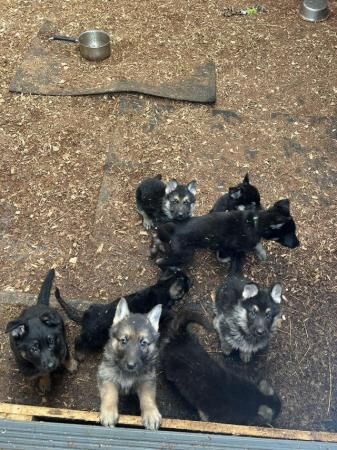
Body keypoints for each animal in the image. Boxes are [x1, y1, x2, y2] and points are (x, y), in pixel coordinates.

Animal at [55, 268, 192, 358]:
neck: (162, 288)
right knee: (79, 340)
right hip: (93, 338)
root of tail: (85, 316)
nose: (191, 281)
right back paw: (79, 355)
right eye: (186, 282)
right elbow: (171, 314)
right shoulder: (165, 313)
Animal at [96, 298, 162, 428]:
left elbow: (148, 396)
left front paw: (151, 413)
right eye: (124, 340)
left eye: (143, 343)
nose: (131, 365)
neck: (127, 373)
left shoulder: (147, 379)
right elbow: (110, 394)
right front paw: (108, 412)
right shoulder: (106, 375)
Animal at [154, 198, 298, 268]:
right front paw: (227, 259)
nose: (298, 244)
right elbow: (221, 256)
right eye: (290, 234)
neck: (255, 223)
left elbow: (256, 244)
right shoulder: (227, 247)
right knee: (163, 261)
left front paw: (261, 252)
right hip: (186, 254)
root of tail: (173, 229)